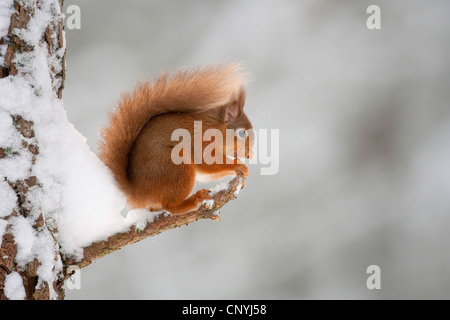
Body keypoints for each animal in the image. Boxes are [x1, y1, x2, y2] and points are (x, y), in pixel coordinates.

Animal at [99, 63, 253, 214]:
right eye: (242, 133)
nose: (249, 155)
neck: (213, 126)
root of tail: (139, 192)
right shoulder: (200, 142)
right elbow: (208, 163)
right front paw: (238, 165)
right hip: (175, 165)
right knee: (171, 206)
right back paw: (195, 199)